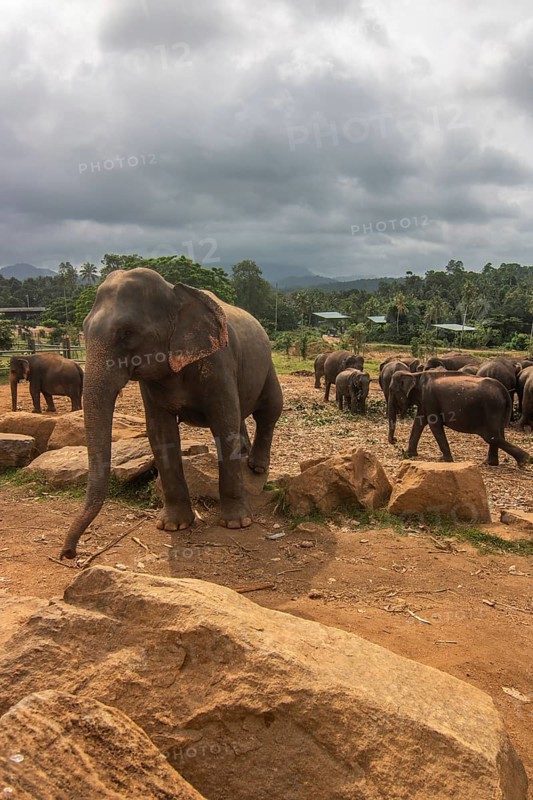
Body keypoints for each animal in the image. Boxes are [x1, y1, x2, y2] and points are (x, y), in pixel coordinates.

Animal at [60, 267, 283, 560]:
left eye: (126, 333)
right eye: (84, 331)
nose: (69, 554)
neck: (174, 291)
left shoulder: (219, 363)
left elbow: (223, 426)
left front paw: (237, 523)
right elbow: (160, 432)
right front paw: (173, 526)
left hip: (268, 366)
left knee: (269, 410)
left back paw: (257, 466)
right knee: (242, 417)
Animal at [387, 370, 530, 466]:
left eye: (391, 390)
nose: (395, 440)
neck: (415, 374)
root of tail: (503, 389)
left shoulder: (429, 399)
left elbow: (434, 424)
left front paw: (445, 460)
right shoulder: (425, 402)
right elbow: (419, 423)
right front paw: (408, 454)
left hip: (492, 407)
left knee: (491, 436)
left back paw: (525, 460)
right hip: (497, 409)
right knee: (497, 435)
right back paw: (490, 463)